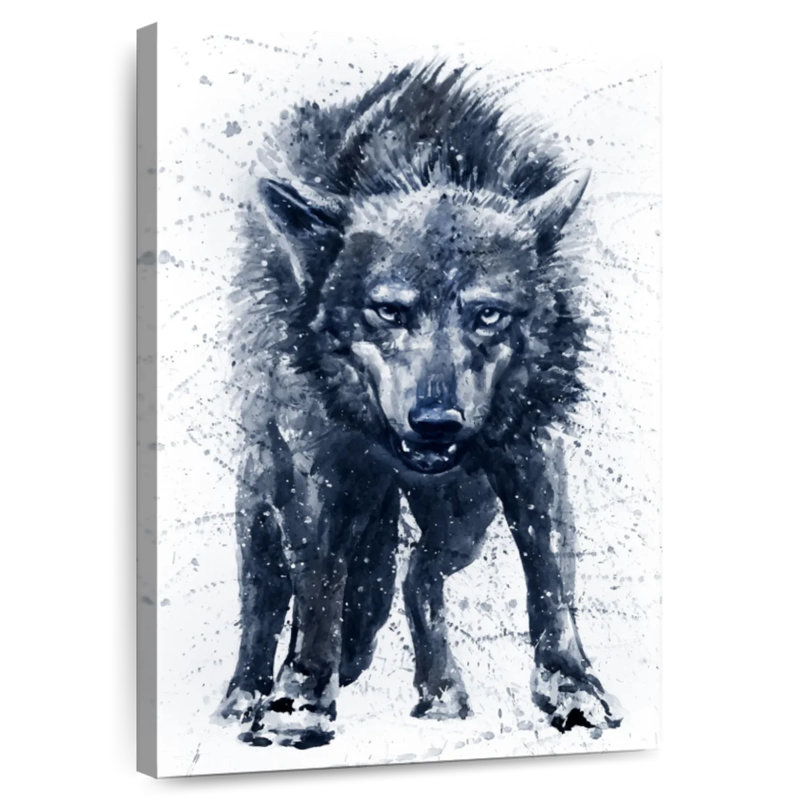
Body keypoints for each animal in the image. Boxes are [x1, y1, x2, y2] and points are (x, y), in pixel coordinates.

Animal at [220, 63, 621, 748]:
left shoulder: (531, 451)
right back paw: (244, 696)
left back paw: (441, 691)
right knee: (267, 598)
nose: (436, 425)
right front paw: (299, 702)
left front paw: (572, 689)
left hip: (464, 516)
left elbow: (550, 580)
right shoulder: (318, 465)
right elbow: (319, 585)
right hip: (264, 499)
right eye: (389, 311)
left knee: (417, 572)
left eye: (487, 315)